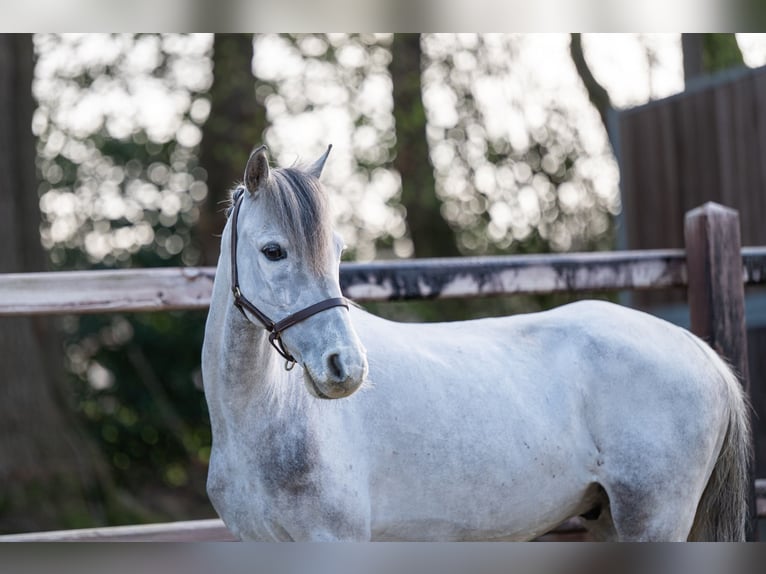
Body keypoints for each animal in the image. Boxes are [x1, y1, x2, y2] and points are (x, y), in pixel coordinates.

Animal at [201, 145, 751, 541]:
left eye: (336, 250)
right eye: (273, 251)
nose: (346, 367)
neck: (269, 418)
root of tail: (701, 352)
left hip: (653, 521)